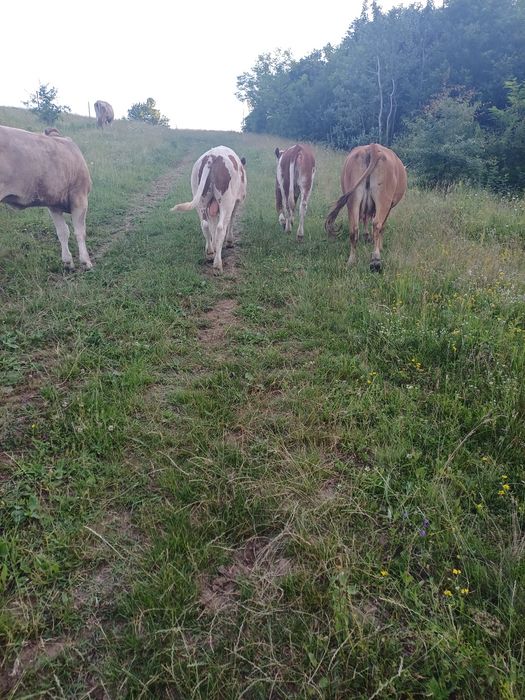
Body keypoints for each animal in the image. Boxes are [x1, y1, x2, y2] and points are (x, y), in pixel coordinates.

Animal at [0, 124, 93, 270]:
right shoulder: (80, 197)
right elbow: (80, 231)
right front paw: (86, 261)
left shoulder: (53, 204)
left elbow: (62, 232)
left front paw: (68, 262)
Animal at [171, 145, 247, 274]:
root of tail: (212, 157)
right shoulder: (237, 201)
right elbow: (231, 220)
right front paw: (229, 242)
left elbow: (212, 226)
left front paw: (215, 246)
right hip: (226, 201)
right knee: (221, 228)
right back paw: (217, 264)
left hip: (200, 200)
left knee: (205, 224)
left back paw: (210, 252)